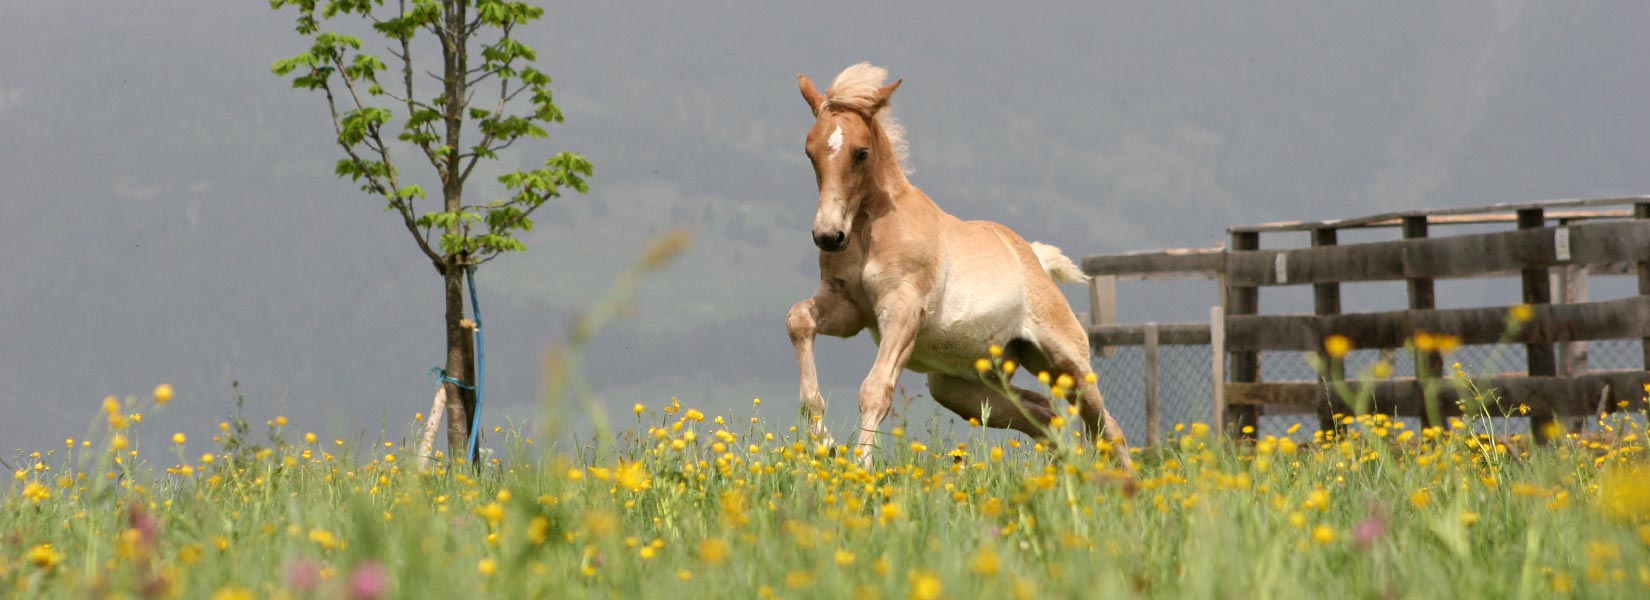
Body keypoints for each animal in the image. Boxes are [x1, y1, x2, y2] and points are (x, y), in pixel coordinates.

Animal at [788, 62, 1135, 474]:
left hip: (1067, 363)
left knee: (1107, 426)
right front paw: (824, 445)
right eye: (809, 152)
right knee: (1043, 413)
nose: (828, 236)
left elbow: (875, 390)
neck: (869, 231)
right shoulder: (849, 310)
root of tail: (1034, 257)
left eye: (861, 152)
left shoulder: (903, 311)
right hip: (963, 385)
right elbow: (799, 320)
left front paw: (861, 468)